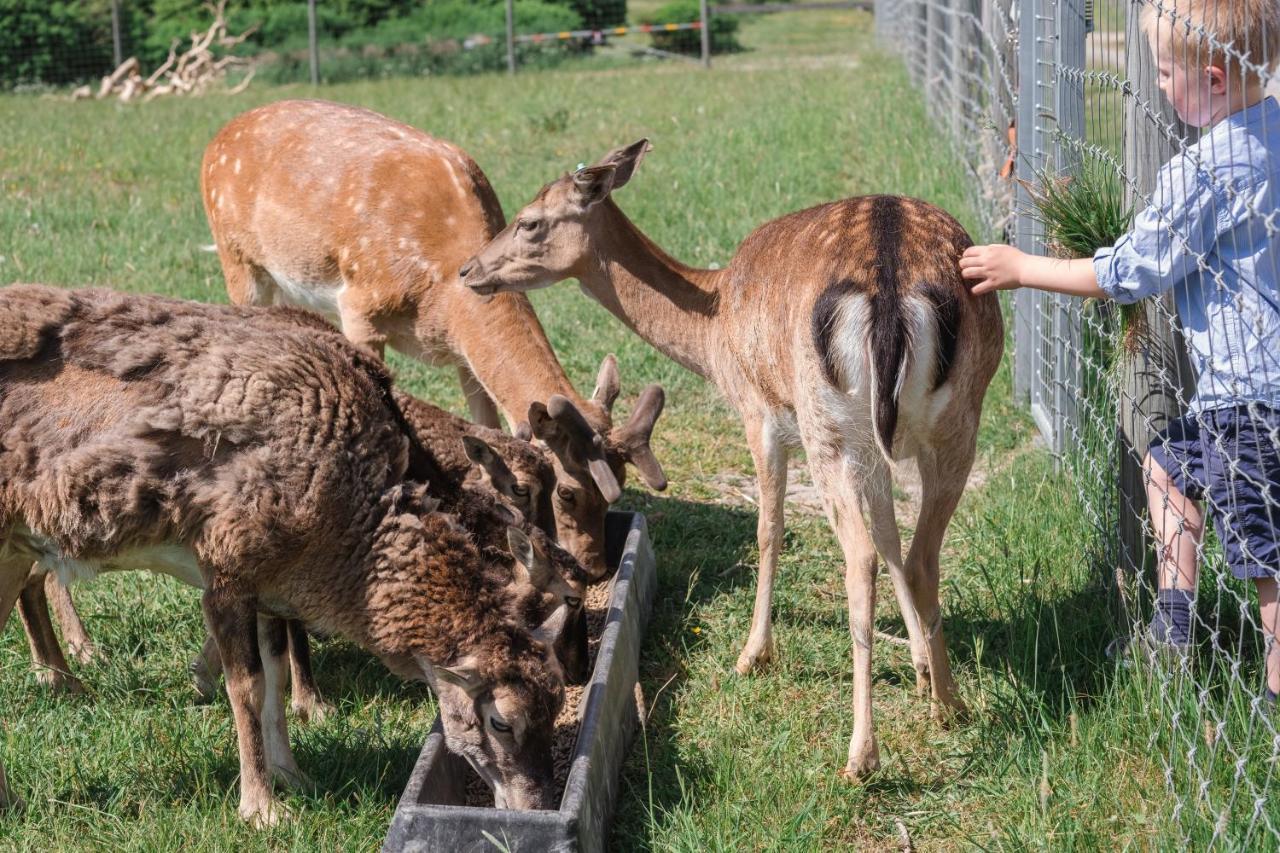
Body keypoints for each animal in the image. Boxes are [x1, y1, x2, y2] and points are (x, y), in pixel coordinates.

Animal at [0, 286, 565, 824]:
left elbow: (274, 679)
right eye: (501, 720)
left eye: (557, 704)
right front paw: (263, 809)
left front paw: (294, 776)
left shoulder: (272, 589)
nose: (536, 805)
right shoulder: (226, 575)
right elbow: (247, 688)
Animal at [197, 97, 670, 578]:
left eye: (619, 485)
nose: (597, 568)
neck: (440, 293)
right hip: (237, 258)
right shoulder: (360, 308)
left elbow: (487, 426)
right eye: (568, 492)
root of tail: (221, 134)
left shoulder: (463, 357)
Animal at [460, 140, 1008, 778]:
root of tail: (893, 283)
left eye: (529, 221)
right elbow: (891, 535)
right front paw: (920, 667)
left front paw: (753, 655)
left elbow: (769, 529)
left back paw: (861, 755)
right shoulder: (873, 448)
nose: (469, 271)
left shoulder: (758, 412)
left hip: (827, 428)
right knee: (919, 553)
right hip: (957, 420)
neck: (714, 326)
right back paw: (949, 704)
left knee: (859, 558)